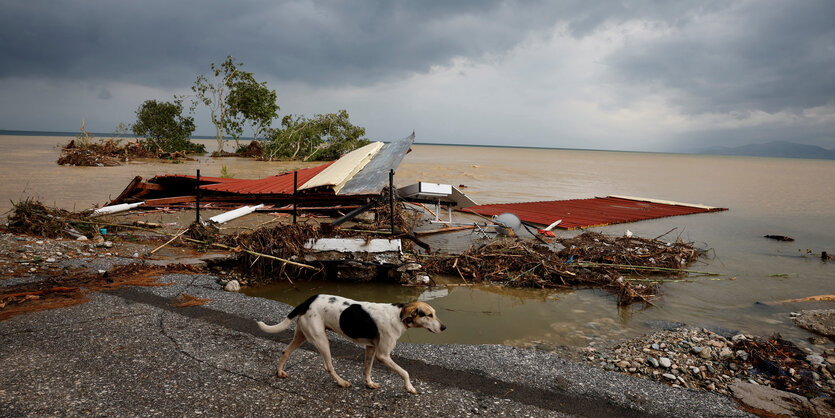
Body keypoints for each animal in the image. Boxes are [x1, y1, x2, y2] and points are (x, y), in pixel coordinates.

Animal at [258, 294, 448, 392]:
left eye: (435, 314)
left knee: (285, 351)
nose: (444, 327)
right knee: (328, 366)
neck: (399, 315)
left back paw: (279, 372)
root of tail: (307, 300)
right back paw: (341, 382)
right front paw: (409, 387)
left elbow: (367, 369)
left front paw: (369, 384)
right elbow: (405, 372)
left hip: (302, 335)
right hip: (321, 340)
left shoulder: (371, 349)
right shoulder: (383, 355)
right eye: (429, 315)